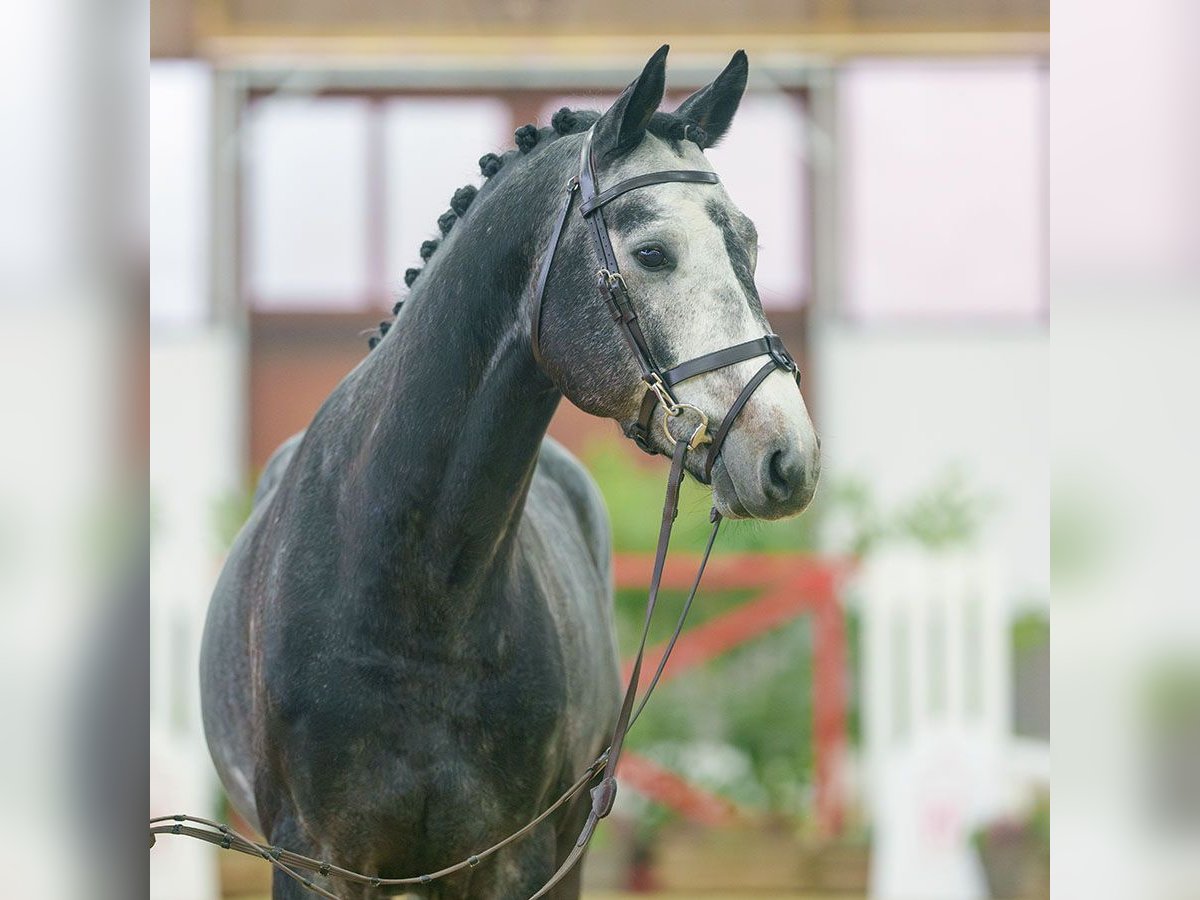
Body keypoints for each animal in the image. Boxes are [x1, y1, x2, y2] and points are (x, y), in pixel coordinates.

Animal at [201, 44, 820, 900]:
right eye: (653, 253)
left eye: (750, 247)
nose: (787, 457)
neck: (416, 591)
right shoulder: (311, 858)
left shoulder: (514, 858)